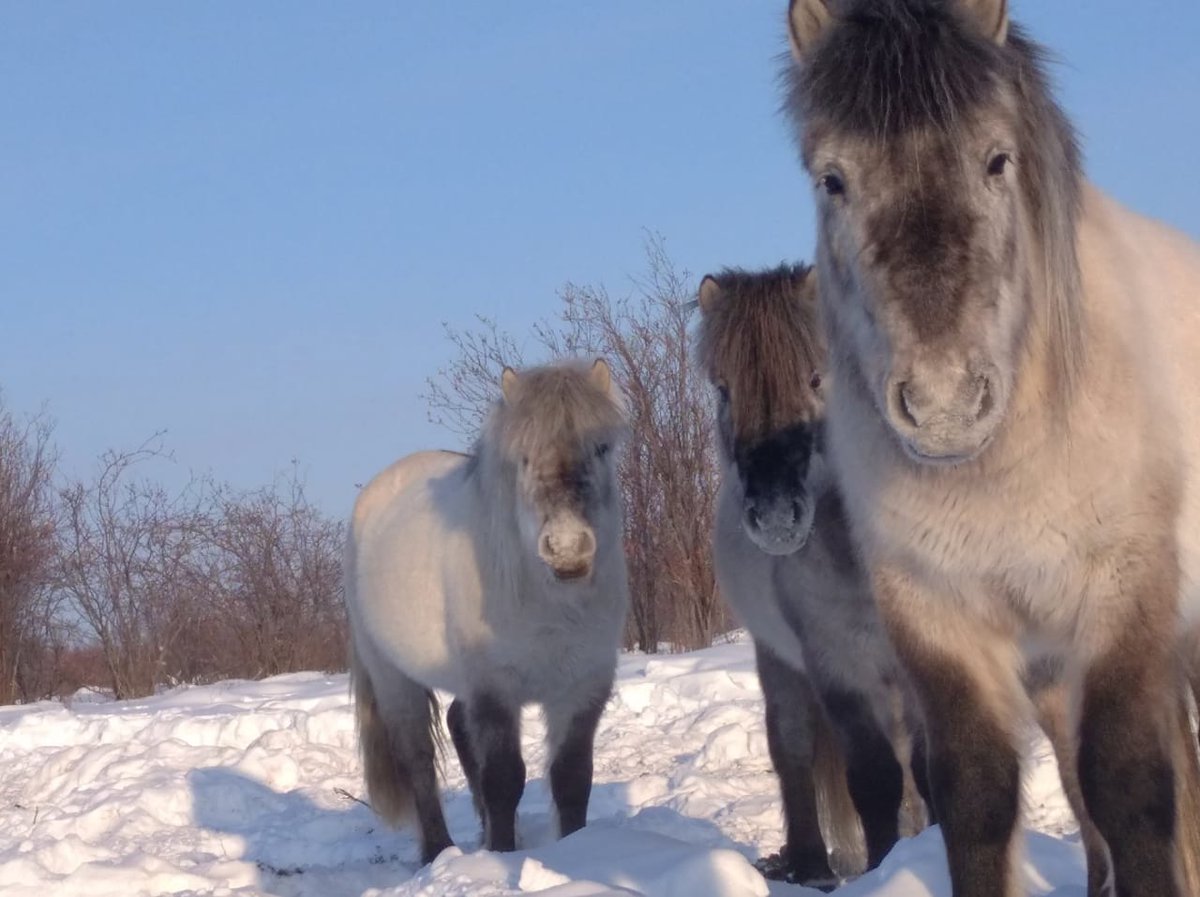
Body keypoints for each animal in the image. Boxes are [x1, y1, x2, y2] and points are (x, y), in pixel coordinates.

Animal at [345, 359, 633, 863]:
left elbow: (572, 779)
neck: (547, 600)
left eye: (601, 447)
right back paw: (438, 851)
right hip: (393, 677)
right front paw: (500, 856)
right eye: (523, 458)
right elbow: (503, 780)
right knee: (418, 758)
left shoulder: (582, 687)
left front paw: (574, 852)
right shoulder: (495, 689)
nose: (567, 548)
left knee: (458, 725)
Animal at [696, 262, 926, 887]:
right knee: (794, 748)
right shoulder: (836, 667)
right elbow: (871, 778)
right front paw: (886, 868)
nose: (776, 516)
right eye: (723, 389)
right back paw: (809, 864)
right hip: (781, 662)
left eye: (818, 377)